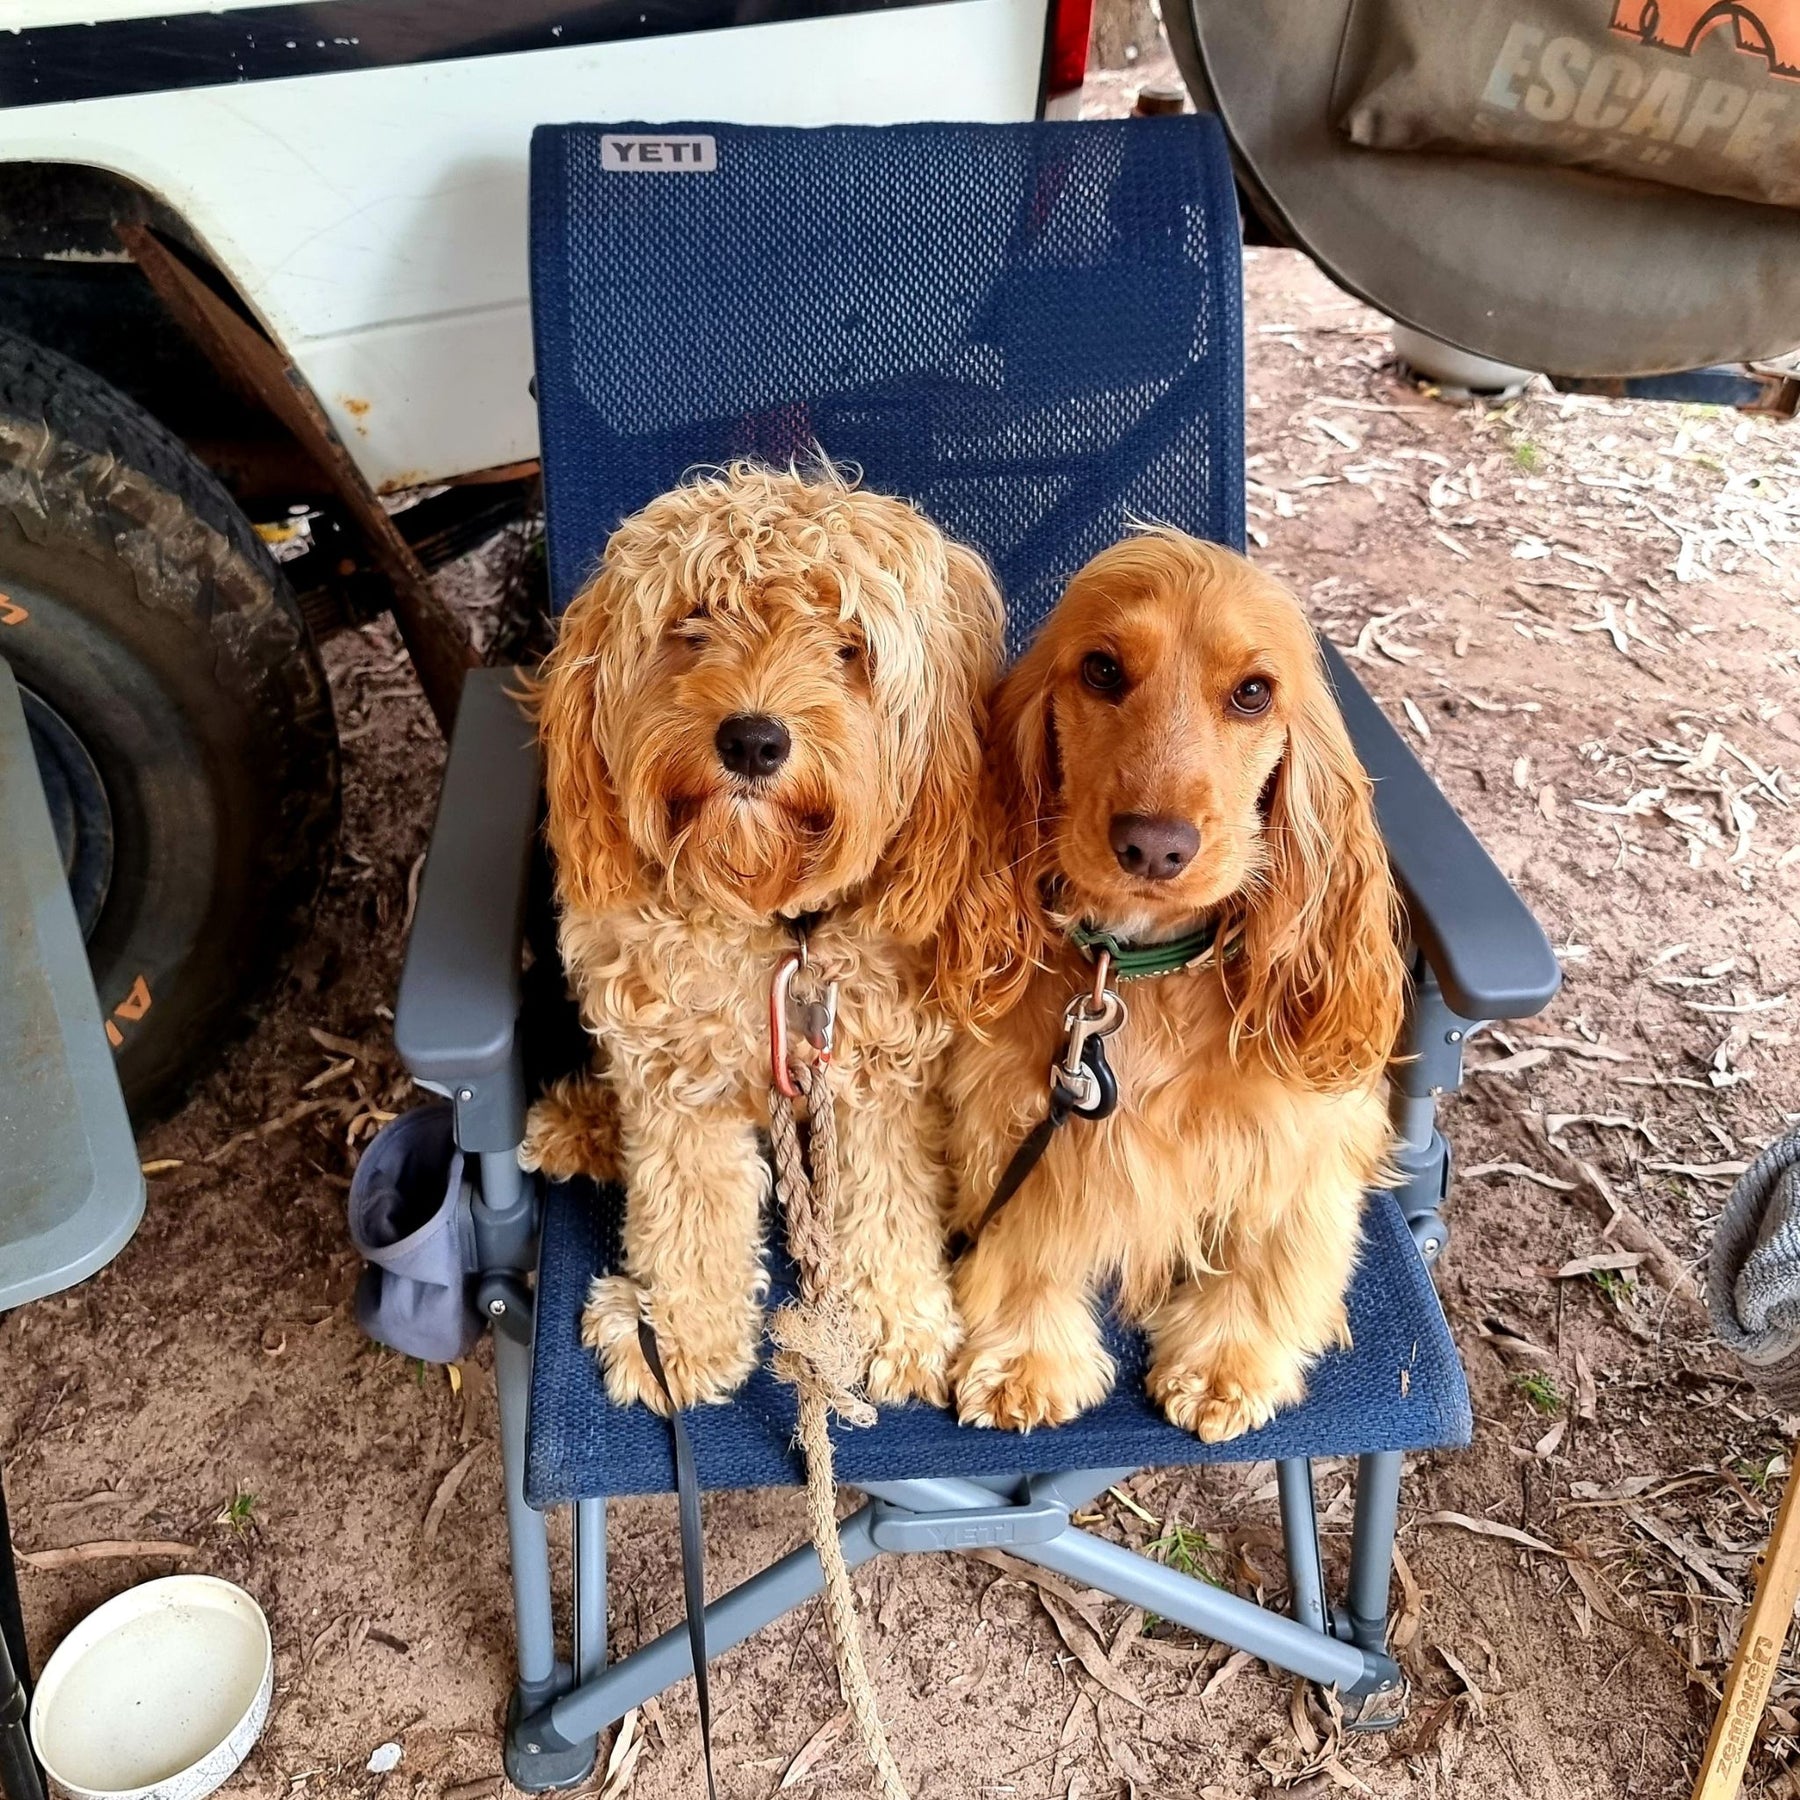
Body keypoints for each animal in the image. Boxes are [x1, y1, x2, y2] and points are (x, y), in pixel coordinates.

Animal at [523, 463, 1003, 1414]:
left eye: (849, 646)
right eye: (694, 623)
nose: (752, 740)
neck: (780, 927)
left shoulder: (875, 1074)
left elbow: (886, 1202)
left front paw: (897, 1324)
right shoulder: (677, 1074)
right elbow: (690, 1214)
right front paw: (677, 1336)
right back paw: (577, 1128)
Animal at [939, 528, 1408, 1443]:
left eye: (1254, 692)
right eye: (1102, 670)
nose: (1155, 845)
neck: (1141, 966)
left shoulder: (1296, 1137)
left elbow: (1268, 1252)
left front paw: (1229, 1362)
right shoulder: (1017, 1118)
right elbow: (1026, 1241)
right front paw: (1024, 1360)